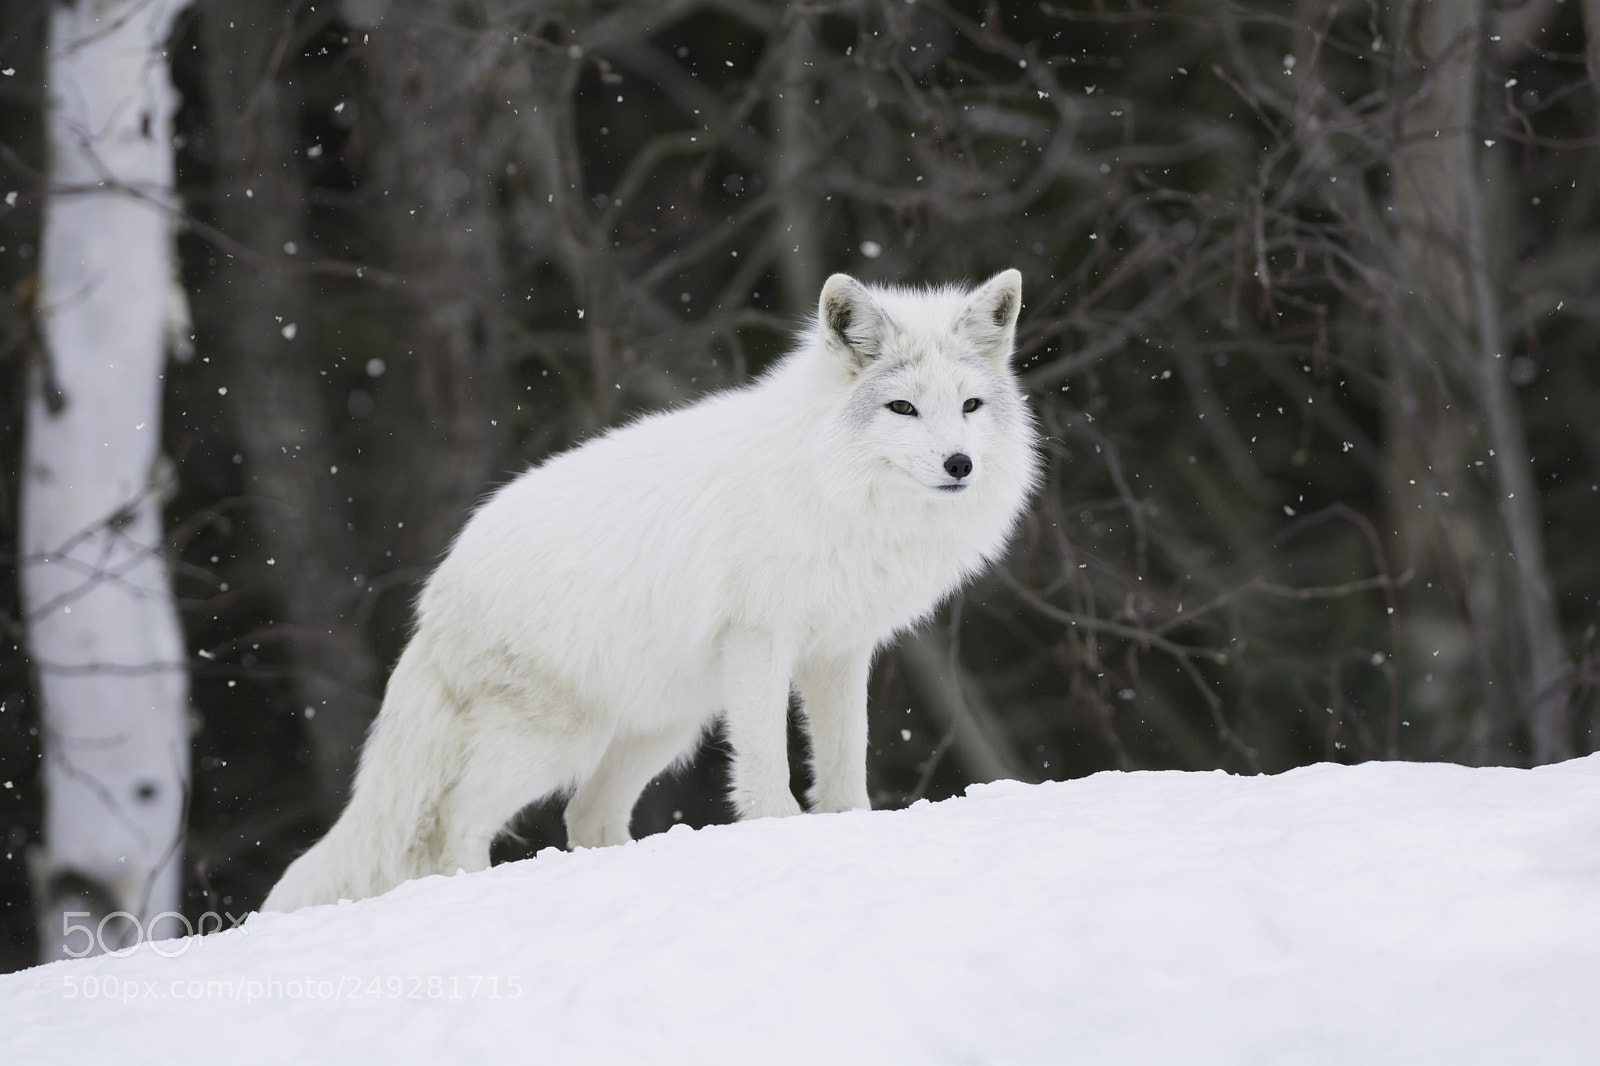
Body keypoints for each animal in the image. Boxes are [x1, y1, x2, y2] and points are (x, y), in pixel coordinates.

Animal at [262, 269, 1040, 911]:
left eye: (971, 405)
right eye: (903, 408)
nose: (960, 463)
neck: (835, 487)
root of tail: (437, 593)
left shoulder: (840, 652)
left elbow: (845, 764)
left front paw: (847, 829)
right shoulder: (761, 639)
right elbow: (768, 768)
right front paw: (780, 834)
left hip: (659, 730)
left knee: (584, 816)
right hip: (558, 743)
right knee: (455, 824)